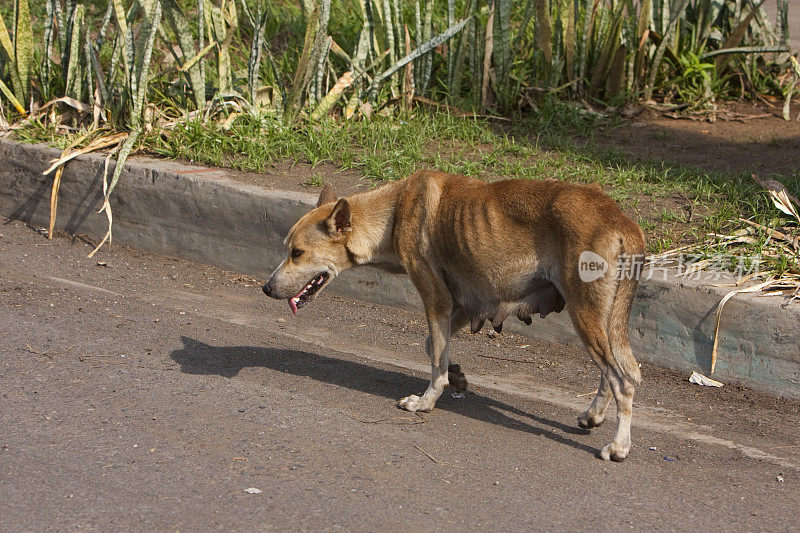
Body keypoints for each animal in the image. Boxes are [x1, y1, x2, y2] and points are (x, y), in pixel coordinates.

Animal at [262, 171, 644, 462]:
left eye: (298, 253)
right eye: (288, 250)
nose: (266, 288)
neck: (394, 213)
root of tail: (623, 223)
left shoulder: (438, 301)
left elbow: (435, 358)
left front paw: (427, 401)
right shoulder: (463, 306)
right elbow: (433, 346)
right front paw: (456, 374)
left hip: (585, 316)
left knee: (623, 380)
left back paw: (619, 445)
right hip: (601, 322)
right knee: (613, 373)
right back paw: (595, 415)